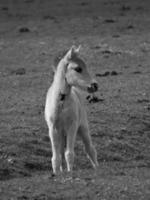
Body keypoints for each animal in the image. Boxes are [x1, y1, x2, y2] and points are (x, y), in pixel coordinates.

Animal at [44, 45, 98, 177]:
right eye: (78, 68)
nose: (95, 86)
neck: (61, 103)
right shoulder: (53, 129)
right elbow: (56, 157)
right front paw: (57, 173)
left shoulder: (72, 126)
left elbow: (69, 153)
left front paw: (70, 172)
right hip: (62, 133)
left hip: (83, 128)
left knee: (90, 149)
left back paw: (97, 168)